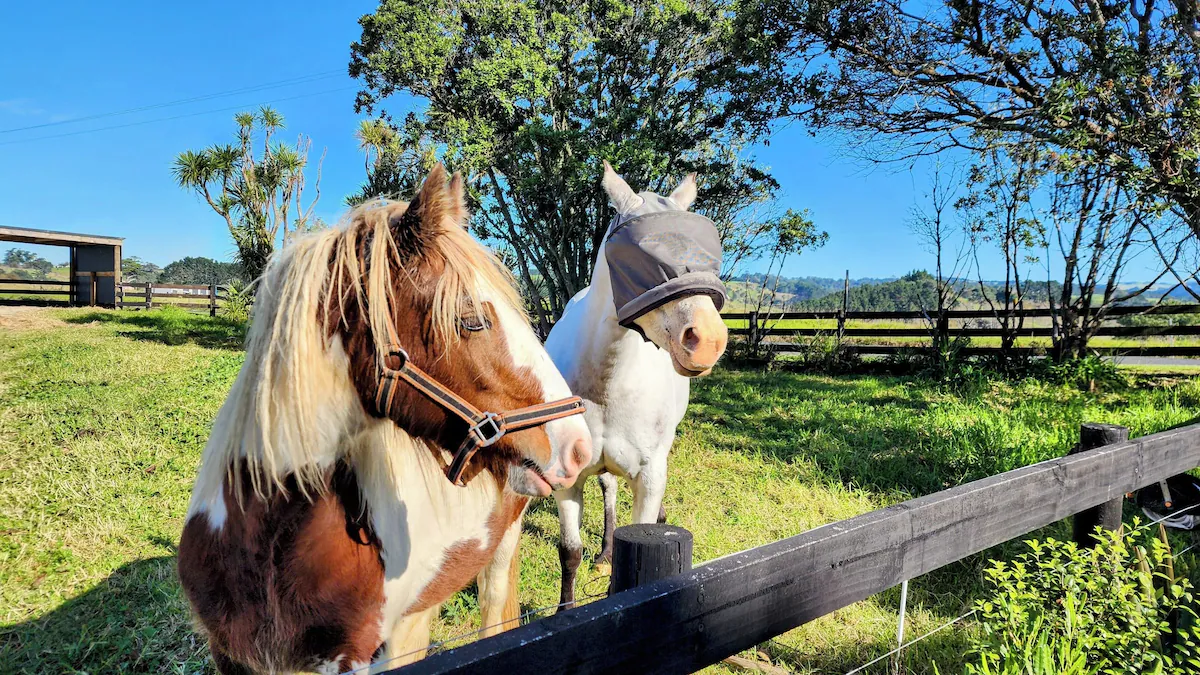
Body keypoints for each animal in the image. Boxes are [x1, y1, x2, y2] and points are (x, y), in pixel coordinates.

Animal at [541, 161, 729, 607]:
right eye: (640, 257)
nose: (709, 340)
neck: (608, 384)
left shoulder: (649, 476)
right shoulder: (568, 476)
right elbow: (570, 552)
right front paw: (565, 609)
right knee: (609, 489)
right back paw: (605, 552)